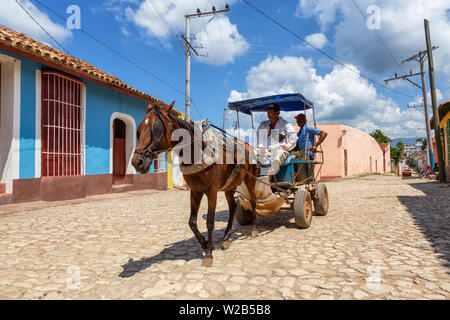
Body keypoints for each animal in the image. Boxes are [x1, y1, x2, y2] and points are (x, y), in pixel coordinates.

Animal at [131, 102, 256, 268]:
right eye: (138, 130)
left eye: (156, 130)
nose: (136, 162)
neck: (200, 153)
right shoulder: (195, 191)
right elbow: (192, 222)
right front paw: (205, 244)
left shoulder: (212, 191)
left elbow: (210, 222)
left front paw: (209, 254)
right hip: (229, 186)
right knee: (233, 208)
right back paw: (226, 238)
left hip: (251, 180)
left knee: (253, 202)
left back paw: (254, 229)